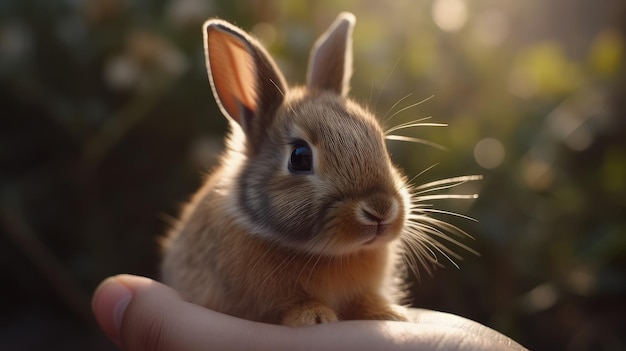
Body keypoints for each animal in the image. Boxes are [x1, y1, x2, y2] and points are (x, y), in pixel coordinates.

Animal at [158, 12, 476, 328]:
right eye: (299, 157)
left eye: (381, 142)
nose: (380, 209)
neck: (330, 255)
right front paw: (314, 316)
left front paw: (389, 314)